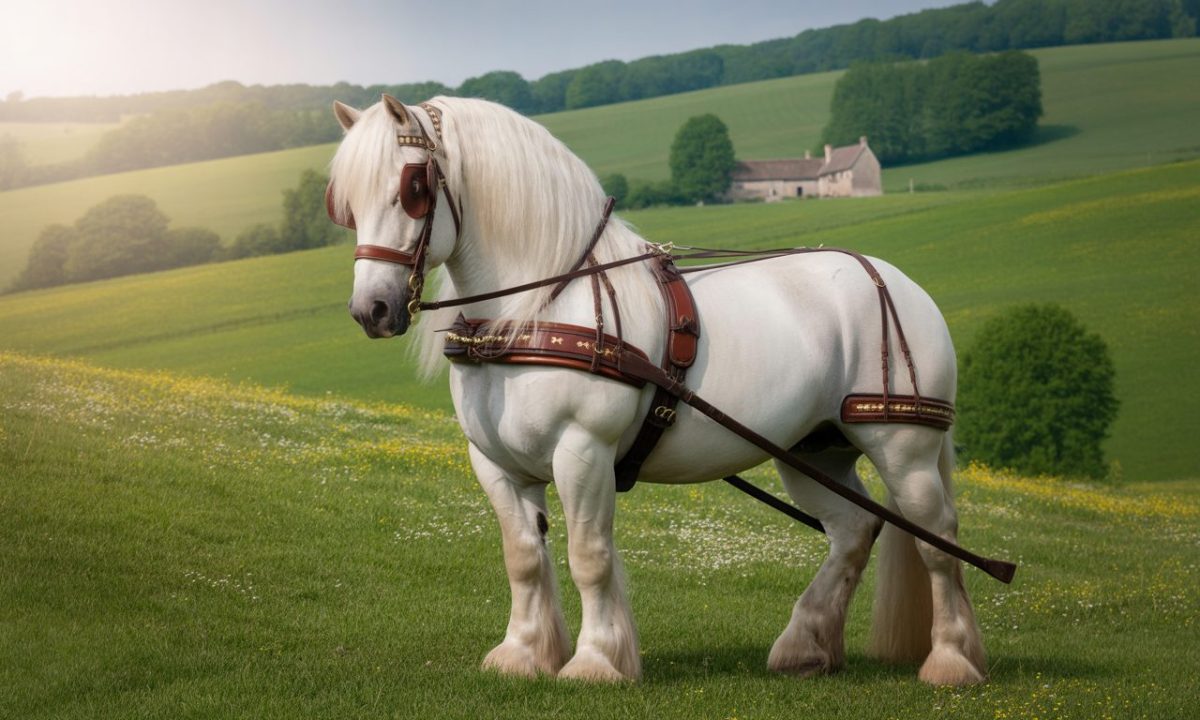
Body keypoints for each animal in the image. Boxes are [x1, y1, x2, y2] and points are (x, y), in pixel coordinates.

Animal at [327, 94, 988, 686]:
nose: (371, 310)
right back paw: (804, 647)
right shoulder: (495, 462)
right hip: (811, 451)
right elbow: (523, 556)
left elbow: (589, 556)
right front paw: (522, 654)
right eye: (347, 205)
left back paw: (952, 660)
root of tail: (897, 280)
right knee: (853, 531)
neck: (532, 311)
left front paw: (595, 661)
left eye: (412, 186)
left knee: (937, 540)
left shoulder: (583, 449)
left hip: (902, 445)